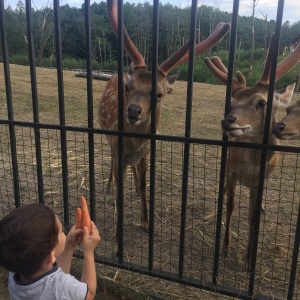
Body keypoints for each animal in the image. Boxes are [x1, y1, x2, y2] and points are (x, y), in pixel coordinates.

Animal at [98, 0, 230, 255]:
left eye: (158, 94)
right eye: (128, 88)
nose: (133, 111)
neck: (135, 140)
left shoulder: (148, 150)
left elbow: (144, 183)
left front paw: (146, 223)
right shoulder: (119, 145)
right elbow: (121, 185)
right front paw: (118, 241)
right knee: (112, 163)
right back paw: (108, 187)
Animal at [205, 34, 300, 264]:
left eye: (262, 102)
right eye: (232, 103)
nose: (227, 120)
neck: (252, 165)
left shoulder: (261, 179)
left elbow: (252, 215)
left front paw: (249, 257)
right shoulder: (232, 171)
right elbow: (230, 207)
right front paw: (226, 248)